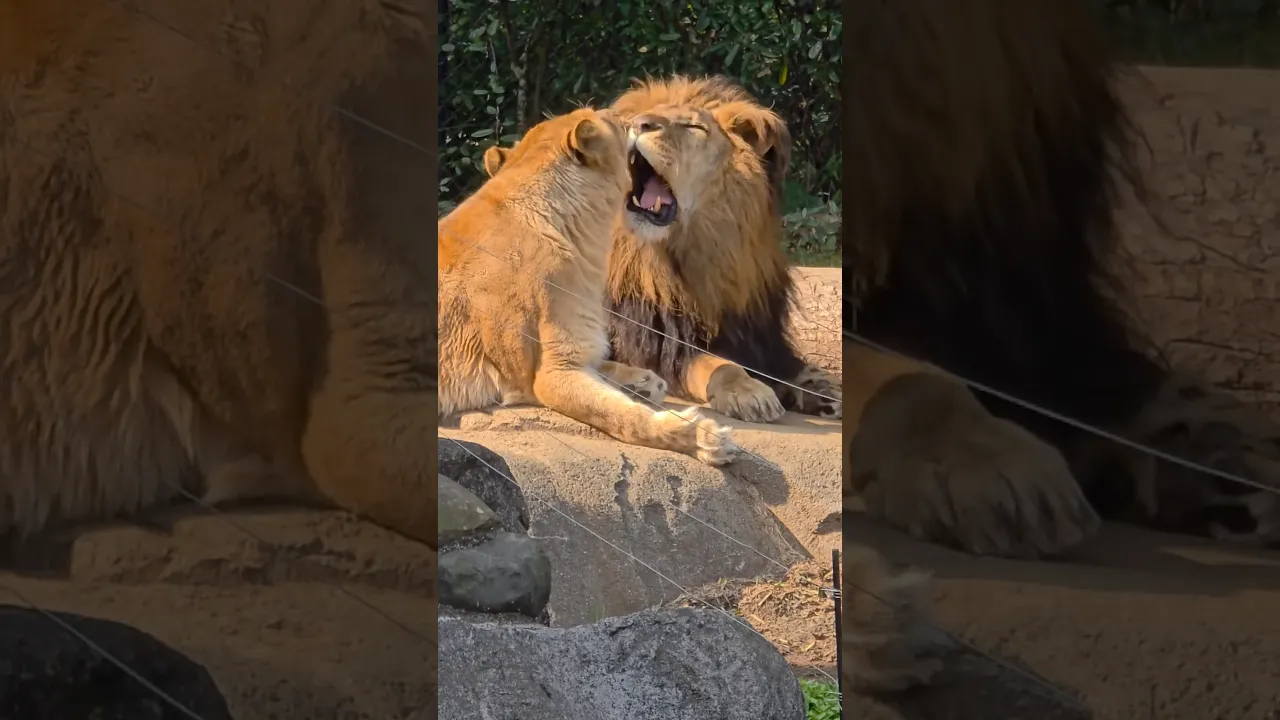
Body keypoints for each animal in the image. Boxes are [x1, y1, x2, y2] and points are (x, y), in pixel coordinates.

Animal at [439, 108, 739, 467]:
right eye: (613, 120)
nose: (638, 120)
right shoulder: (552, 373)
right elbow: (622, 417)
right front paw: (702, 437)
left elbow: (604, 369)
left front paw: (643, 381)